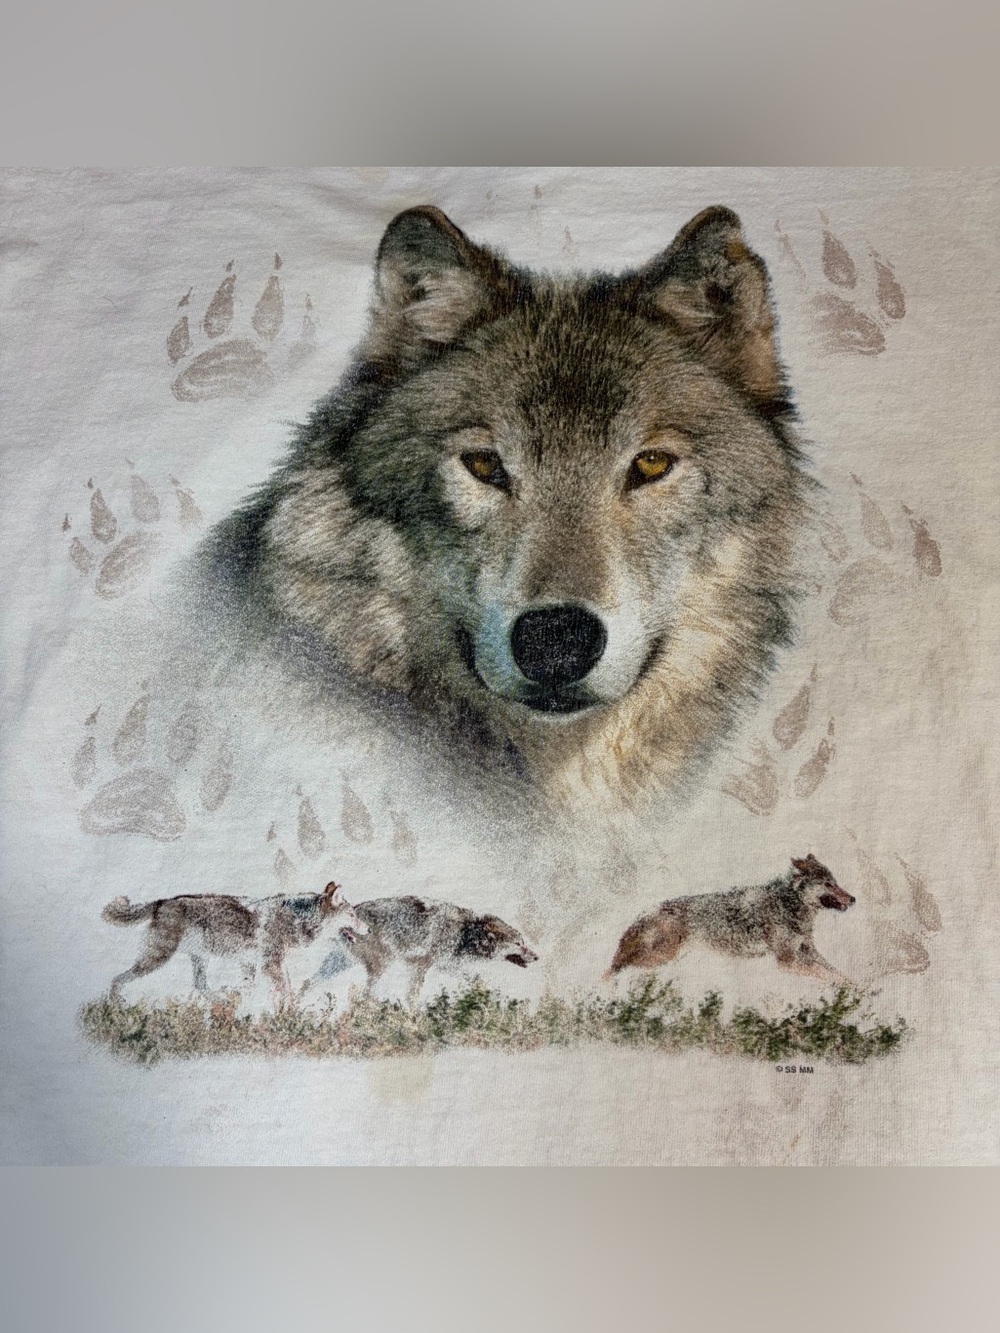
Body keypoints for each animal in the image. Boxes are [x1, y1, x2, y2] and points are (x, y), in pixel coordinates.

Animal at [102, 881, 365, 1004]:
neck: (297, 919)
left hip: (199, 960)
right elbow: (287, 991)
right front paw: (290, 1016)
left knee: (200, 987)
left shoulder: (251, 964)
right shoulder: (271, 964)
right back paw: (115, 1005)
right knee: (117, 979)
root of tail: (160, 902)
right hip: (157, 958)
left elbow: (253, 988)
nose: (369, 928)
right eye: (352, 915)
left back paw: (222, 1000)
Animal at [311, 894, 539, 1006]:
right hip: (381, 966)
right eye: (519, 944)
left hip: (339, 965)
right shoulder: (422, 966)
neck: (465, 933)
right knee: (365, 996)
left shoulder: (447, 966)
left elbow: (476, 979)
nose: (537, 957)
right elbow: (412, 996)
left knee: (307, 983)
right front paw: (414, 1018)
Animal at [604, 854, 856, 983]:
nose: (853, 899)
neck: (789, 904)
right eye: (828, 884)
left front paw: (855, 988)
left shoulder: (808, 951)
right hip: (661, 958)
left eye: (835, 882)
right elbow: (827, 975)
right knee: (617, 968)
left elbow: (836, 972)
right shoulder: (787, 961)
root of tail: (644, 913)